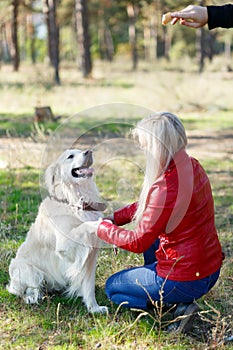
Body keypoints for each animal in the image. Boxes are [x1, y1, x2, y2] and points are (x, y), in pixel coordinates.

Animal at [7, 149, 108, 314]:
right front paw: (98, 224)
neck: (73, 199)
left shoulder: (91, 256)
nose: (89, 151)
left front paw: (94, 308)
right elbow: (82, 227)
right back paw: (32, 297)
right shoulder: (66, 245)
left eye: (81, 150)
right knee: (30, 288)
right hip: (26, 269)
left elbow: (89, 286)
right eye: (70, 156)